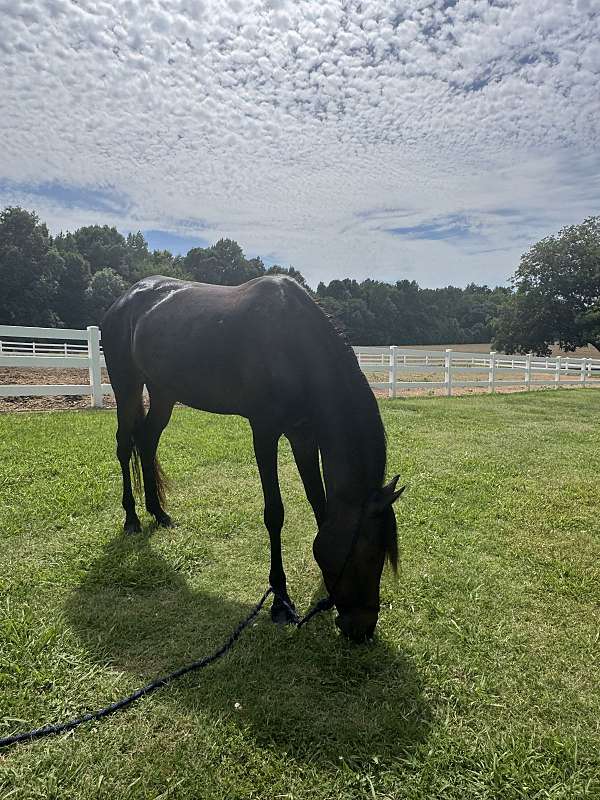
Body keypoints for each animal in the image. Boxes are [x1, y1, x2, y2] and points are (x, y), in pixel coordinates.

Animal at [101, 275, 404, 642]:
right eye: (368, 554)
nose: (362, 630)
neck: (295, 345)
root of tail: (124, 300)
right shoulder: (265, 432)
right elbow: (275, 513)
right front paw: (280, 601)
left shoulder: (303, 434)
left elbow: (318, 502)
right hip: (127, 386)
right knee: (124, 445)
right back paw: (131, 518)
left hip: (164, 393)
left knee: (146, 442)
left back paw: (159, 513)